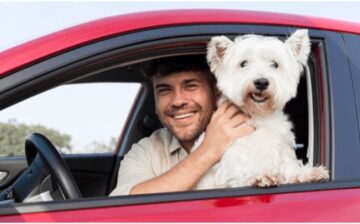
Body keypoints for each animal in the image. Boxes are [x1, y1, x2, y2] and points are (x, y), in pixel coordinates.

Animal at [204, 29, 328, 187]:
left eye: (274, 64)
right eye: (243, 64)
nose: (261, 82)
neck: (259, 114)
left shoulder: (281, 149)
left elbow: (288, 165)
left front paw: (306, 173)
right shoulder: (231, 157)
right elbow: (241, 168)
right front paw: (260, 175)